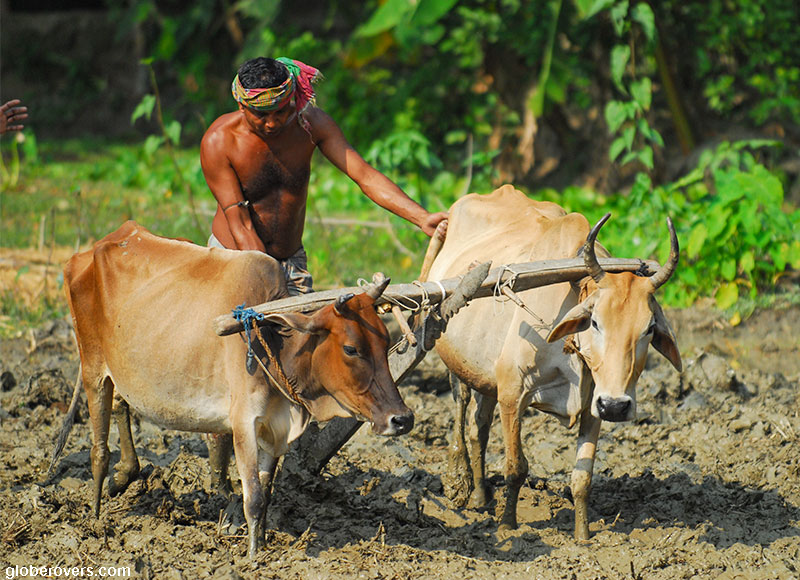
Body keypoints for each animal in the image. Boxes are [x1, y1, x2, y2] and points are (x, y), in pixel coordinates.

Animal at [57, 221, 414, 557]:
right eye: (351, 349)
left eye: (386, 340)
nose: (402, 419)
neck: (271, 338)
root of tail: (95, 247)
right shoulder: (245, 422)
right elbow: (252, 496)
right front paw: (253, 558)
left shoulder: (276, 428)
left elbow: (266, 493)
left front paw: (264, 546)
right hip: (92, 367)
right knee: (99, 449)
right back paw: (95, 519)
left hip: (121, 371)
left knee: (122, 406)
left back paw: (123, 477)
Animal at [420, 185, 682, 540]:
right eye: (595, 322)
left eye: (649, 328)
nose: (617, 406)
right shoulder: (513, 391)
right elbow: (516, 467)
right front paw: (507, 526)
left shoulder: (593, 404)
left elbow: (582, 478)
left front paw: (583, 536)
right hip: (455, 362)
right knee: (461, 414)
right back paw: (458, 482)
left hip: (485, 375)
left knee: (479, 428)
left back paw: (480, 496)